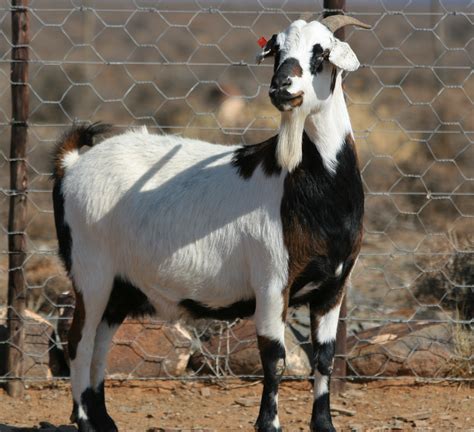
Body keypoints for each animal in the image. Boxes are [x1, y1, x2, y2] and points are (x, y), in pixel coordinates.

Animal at [52, 15, 370, 432]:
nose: (281, 87)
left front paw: (325, 424)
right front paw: (268, 424)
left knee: (101, 347)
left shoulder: (333, 287)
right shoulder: (272, 282)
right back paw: (86, 420)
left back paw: (104, 420)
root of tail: (72, 165)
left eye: (322, 53)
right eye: (277, 52)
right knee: (79, 343)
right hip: (91, 272)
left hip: (121, 287)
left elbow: (325, 357)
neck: (311, 183)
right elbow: (275, 359)